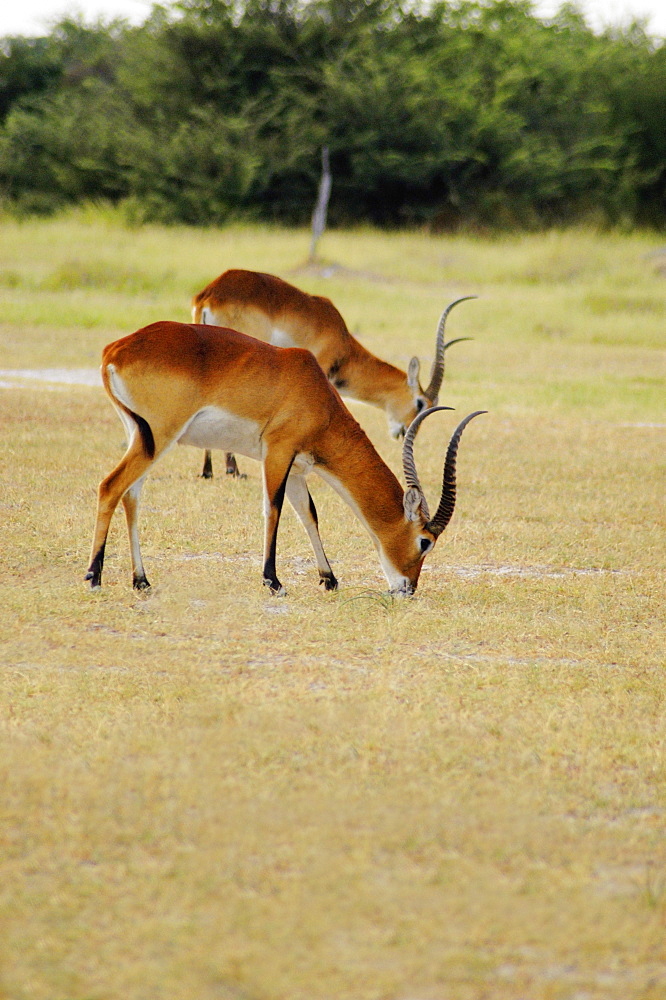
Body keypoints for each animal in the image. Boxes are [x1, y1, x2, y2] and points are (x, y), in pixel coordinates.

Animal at [87, 324, 482, 596]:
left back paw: (141, 581)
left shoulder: (297, 468)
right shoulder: (277, 452)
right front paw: (273, 581)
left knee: (131, 495)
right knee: (110, 486)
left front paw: (329, 579)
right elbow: (273, 508)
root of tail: (114, 350)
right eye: (425, 542)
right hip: (158, 438)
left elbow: (308, 514)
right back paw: (94, 577)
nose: (408, 588)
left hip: (143, 439)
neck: (316, 395)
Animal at [191, 270, 472, 480]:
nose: (403, 431)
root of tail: (211, 294)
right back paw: (232, 470)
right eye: (421, 403)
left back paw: (209, 471)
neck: (341, 339)